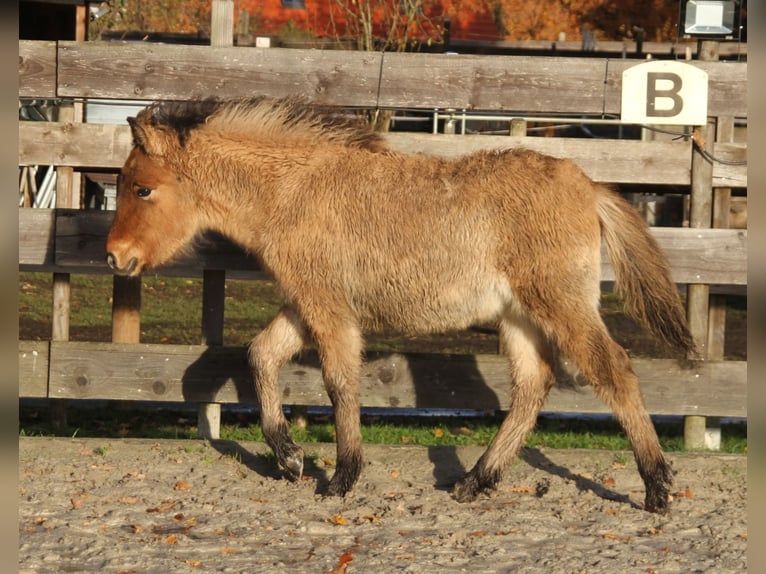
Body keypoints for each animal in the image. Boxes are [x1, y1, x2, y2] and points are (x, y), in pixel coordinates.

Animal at [106, 96, 696, 514]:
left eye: (142, 189)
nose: (115, 256)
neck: (293, 191)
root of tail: (590, 184)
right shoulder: (308, 302)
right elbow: (260, 356)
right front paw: (290, 457)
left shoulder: (327, 308)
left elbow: (339, 382)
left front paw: (341, 478)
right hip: (518, 317)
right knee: (533, 385)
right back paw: (475, 481)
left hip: (561, 305)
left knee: (614, 372)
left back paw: (657, 488)